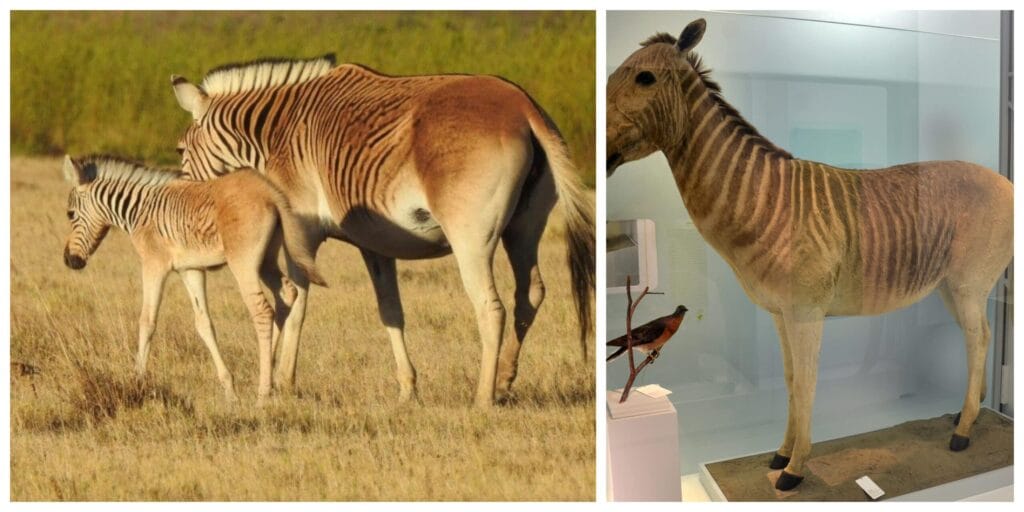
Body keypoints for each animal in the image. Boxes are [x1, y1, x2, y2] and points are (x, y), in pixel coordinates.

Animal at [62, 155, 326, 402]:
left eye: (70, 214)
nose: (69, 261)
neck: (140, 210)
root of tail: (269, 191)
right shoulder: (191, 269)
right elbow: (203, 324)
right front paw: (229, 389)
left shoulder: (154, 264)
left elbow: (147, 321)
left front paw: (137, 381)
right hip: (266, 260)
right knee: (287, 295)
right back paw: (267, 369)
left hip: (244, 263)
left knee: (261, 310)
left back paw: (263, 392)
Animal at [169, 55, 595, 407]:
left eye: (179, 150)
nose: (185, 203)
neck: (278, 135)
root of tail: (522, 105)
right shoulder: (375, 243)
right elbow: (391, 311)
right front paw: (408, 389)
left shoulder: (300, 233)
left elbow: (297, 305)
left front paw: (283, 381)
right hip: (524, 230)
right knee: (530, 294)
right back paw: (505, 381)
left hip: (471, 237)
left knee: (490, 307)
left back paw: (482, 397)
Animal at [606, 19, 1013, 490]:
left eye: (644, 78)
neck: (763, 202)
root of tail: (1004, 181)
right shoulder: (780, 313)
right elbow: (789, 381)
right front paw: (781, 453)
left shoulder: (807, 312)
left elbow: (806, 383)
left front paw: (795, 469)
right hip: (950, 285)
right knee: (980, 336)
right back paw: (968, 415)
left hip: (969, 282)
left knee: (979, 338)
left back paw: (963, 432)